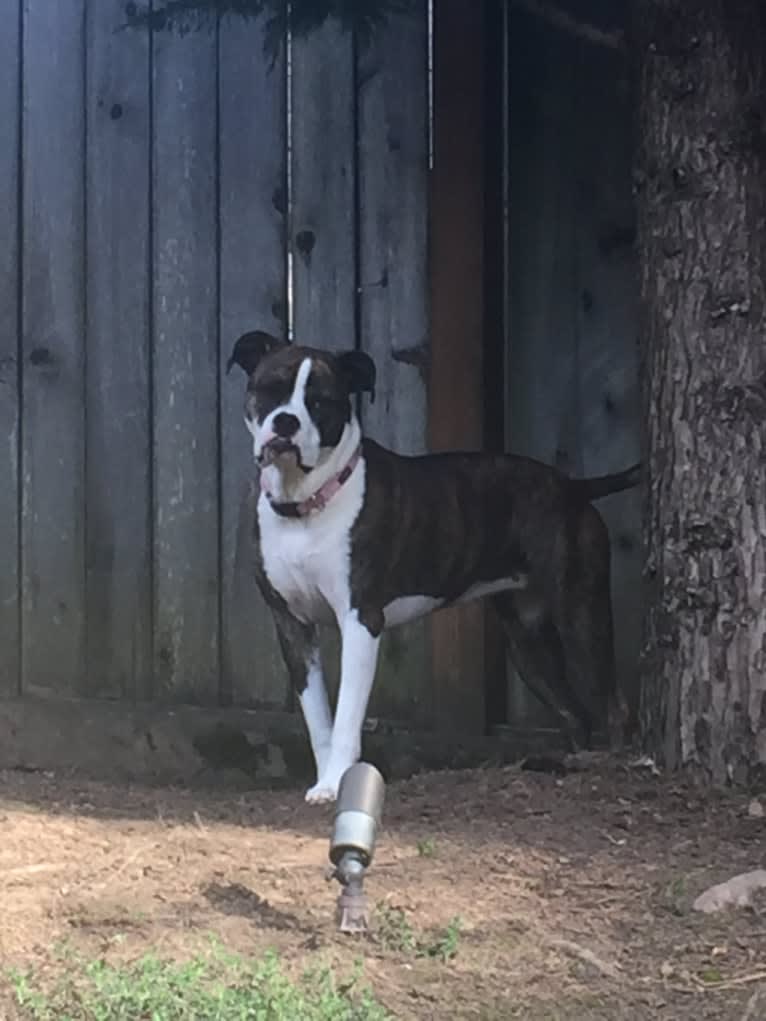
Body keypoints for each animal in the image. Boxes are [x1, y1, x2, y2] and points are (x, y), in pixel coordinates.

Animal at [227, 330, 641, 800]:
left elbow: (347, 714)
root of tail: (574, 487)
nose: (286, 422)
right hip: (529, 641)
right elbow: (318, 719)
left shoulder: (360, 620)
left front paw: (338, 779)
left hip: (581, 615)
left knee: (614, 706)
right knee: (575, 713)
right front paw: (324, 785)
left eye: (320, 402)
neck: (306, 504)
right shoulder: (293, 628)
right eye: (270, 389)